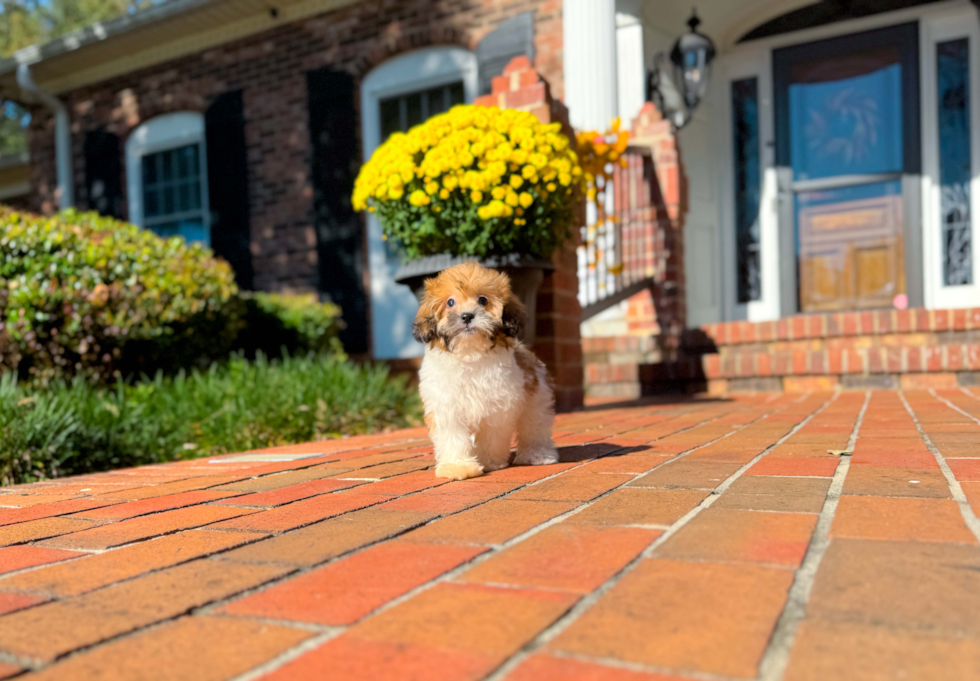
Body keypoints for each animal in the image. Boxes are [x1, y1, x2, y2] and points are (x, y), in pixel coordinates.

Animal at [412, 260, 556, 478]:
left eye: (482, 300)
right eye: (450, 302)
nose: (466, 316)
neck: (470, 351)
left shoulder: (497, 407)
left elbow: (491, 435)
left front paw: (489, 461)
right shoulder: (446, 406)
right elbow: (452, 435)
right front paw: (458, 466)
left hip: (536, 397)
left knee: (534, 426)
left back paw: (536, 454)